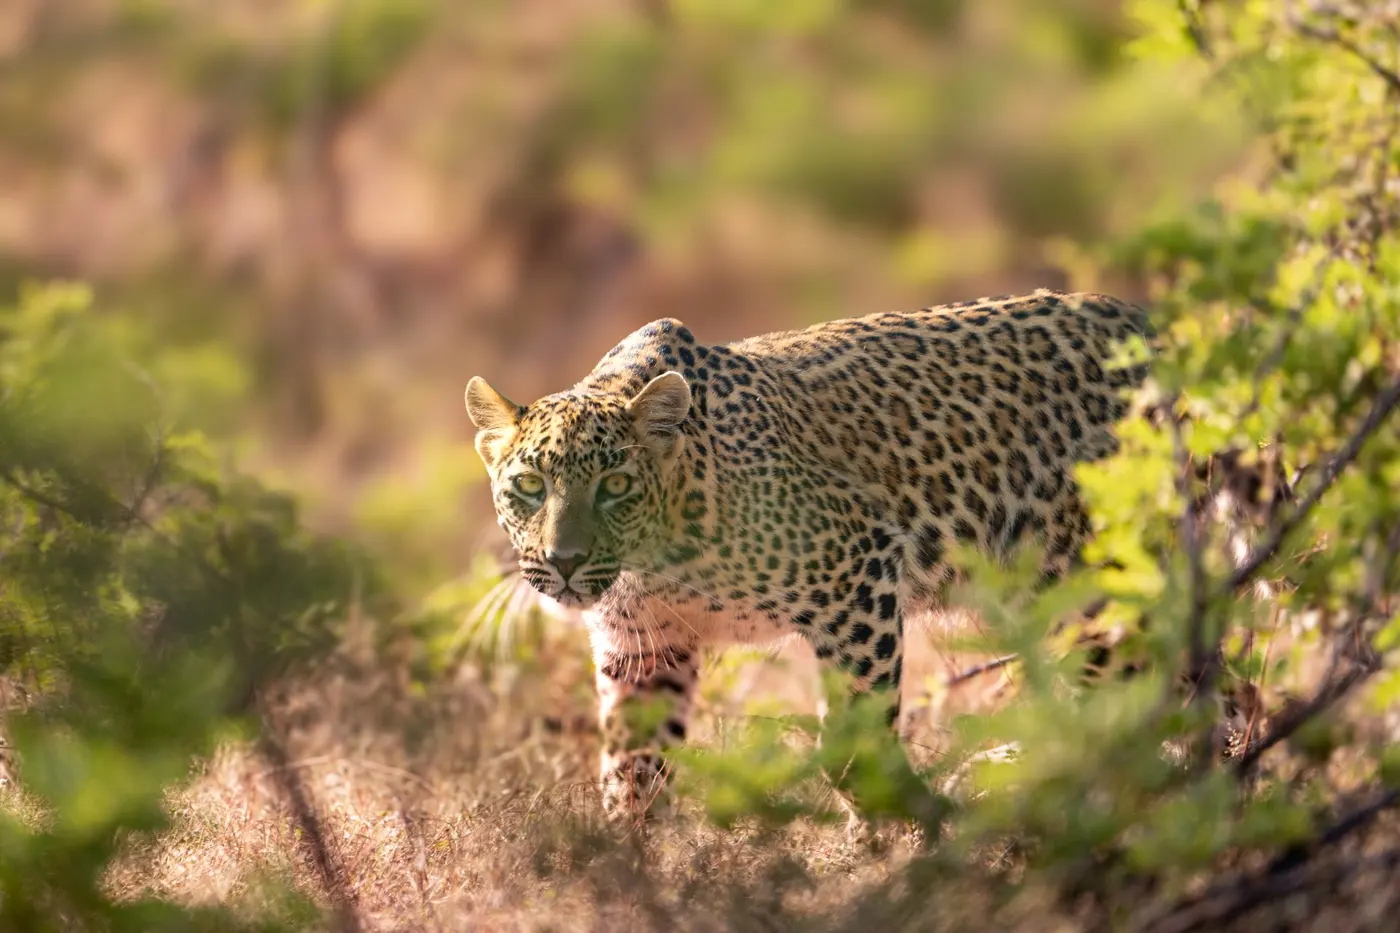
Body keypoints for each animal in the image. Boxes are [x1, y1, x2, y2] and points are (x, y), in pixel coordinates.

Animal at [463, 288, 1268, 825]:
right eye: (528, 487)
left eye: (615, 486)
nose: (565, 562)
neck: (652, 557)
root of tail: (1163, 332)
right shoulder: (644, 646)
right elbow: (632, 771)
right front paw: (632, 868)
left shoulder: (855, 570)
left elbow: (854, 740)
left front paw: (896, 828)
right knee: (1215, 688)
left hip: (1095, 587)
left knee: (1131, 703)